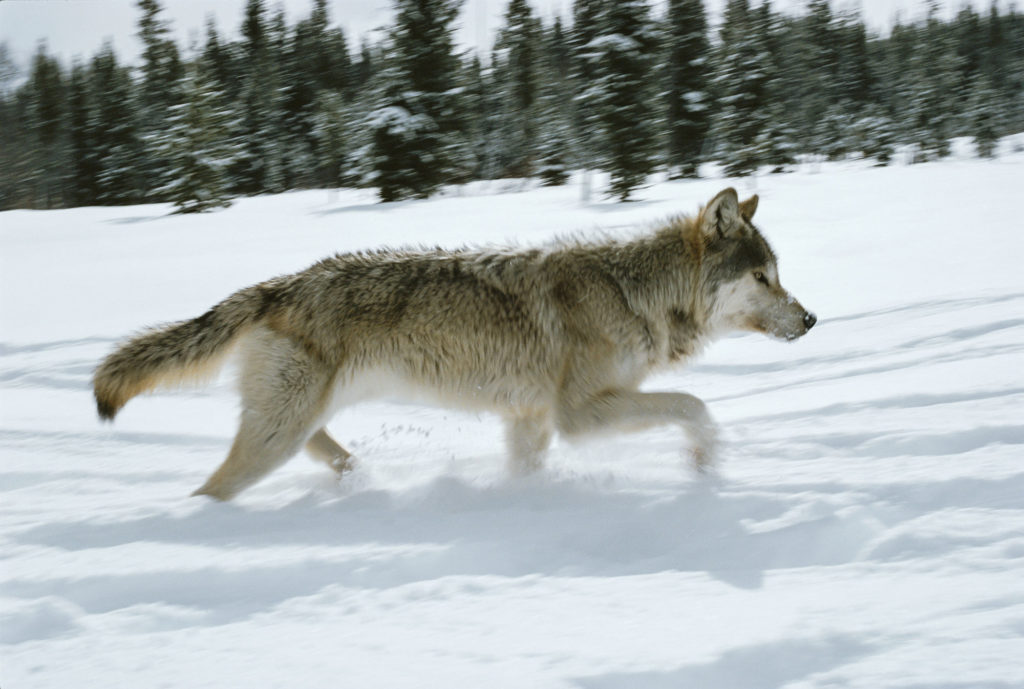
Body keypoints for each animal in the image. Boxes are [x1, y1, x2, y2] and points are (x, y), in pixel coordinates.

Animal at [93, 188, 815, 500]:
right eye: (764, 277)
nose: (811, 319)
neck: (634, 291)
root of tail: (276, 286)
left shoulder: (531, 422)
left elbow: (527, 470)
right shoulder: (577, 415)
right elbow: (695, 406)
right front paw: (705, 465)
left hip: (298, 424)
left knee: (325, 453)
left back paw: (359, 480)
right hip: (277, 434)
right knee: (211, 490)